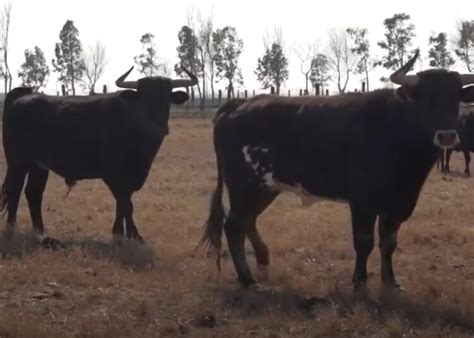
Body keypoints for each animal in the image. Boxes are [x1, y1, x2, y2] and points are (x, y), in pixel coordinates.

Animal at [199, 51, 474, 292]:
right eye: (425, 98)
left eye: (455, 98)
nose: (447, 136)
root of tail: (239, 104)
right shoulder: (362, 202)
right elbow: (364, 242)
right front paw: (359, 283)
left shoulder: (398, 203)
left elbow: (388, 243)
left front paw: (390, 281)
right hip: (245, 185)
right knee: (234, 225)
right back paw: (247, 279)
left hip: (266, 187)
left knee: (247, 221)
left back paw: (263, 261)